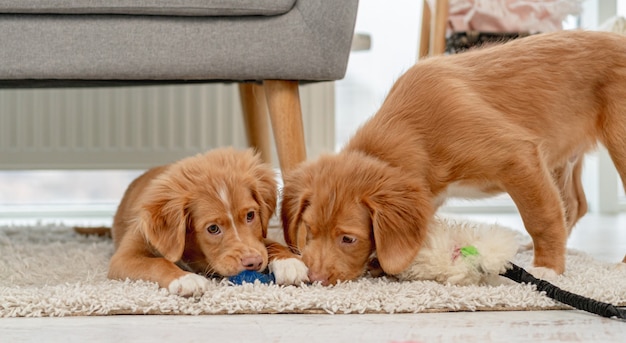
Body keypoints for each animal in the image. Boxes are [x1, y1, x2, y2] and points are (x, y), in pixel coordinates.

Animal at [110, 148, 310, 296]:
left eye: (250, 216)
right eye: (213, 228)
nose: (253, 262)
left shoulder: (257, 239)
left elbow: (270, 243)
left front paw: (289, 262)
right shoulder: (125, 256)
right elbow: (157, 262)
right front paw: (185, 279)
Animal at [280, 30, 624, 286]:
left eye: (348, 239)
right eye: (309, 230)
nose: (314, 277)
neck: (413, 129)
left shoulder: (518, 156)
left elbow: (540, 216)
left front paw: (548, 268)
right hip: (560, 156)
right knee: (574, 204)